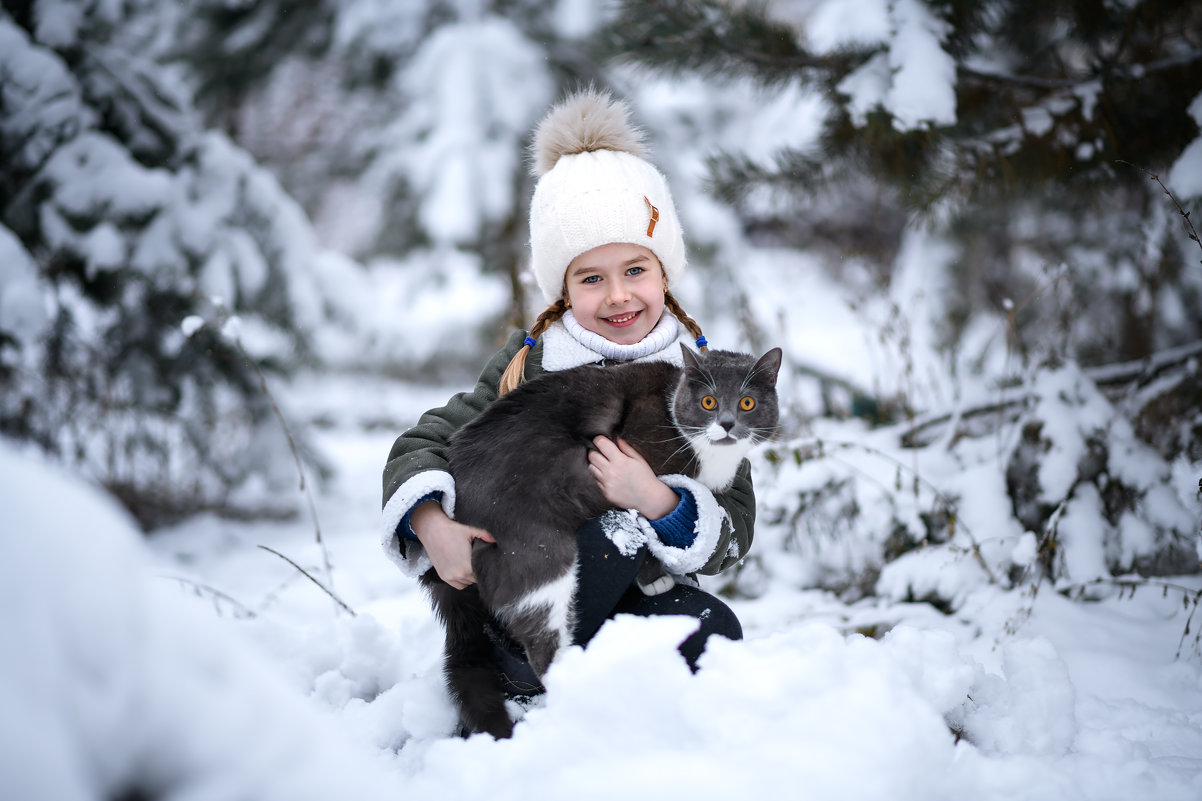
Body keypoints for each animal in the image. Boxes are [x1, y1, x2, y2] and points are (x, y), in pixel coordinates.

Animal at [418, 343, 783, 736]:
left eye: (747, 403)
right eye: (708, 402)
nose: (727, 423)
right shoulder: (632, 466)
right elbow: (642, 524)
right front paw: (656, 580)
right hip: (536, 551)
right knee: (541, 639)